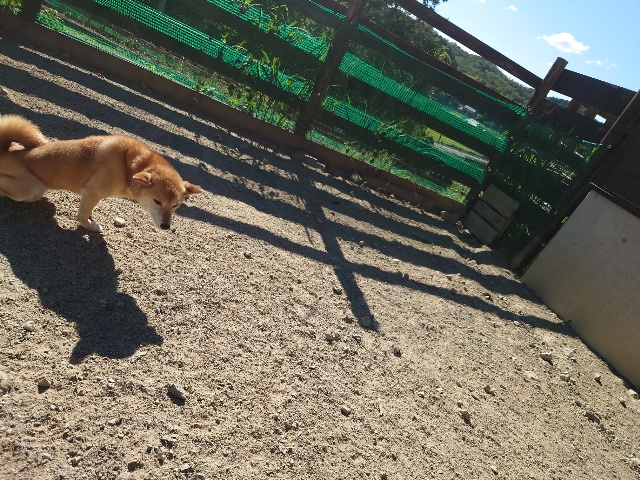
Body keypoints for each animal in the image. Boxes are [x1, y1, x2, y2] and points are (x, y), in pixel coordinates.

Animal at [0, 115, 202, 232]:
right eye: (157, 201)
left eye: (176, 205)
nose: (166, 226)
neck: (127, 165)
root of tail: (6, 152)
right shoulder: (92, 192)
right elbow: (82, 217)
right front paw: (91, 226)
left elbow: (87, 210)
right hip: (33, 187)